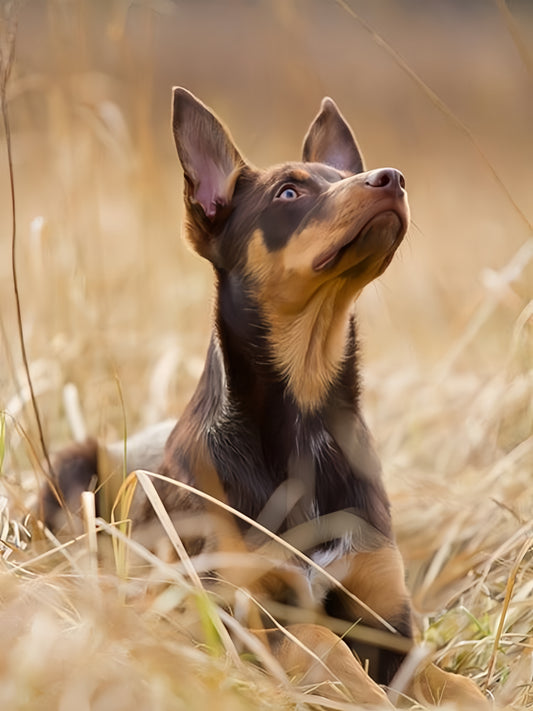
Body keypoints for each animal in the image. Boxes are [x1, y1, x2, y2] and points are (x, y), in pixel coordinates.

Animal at [43, 89, 414, 696]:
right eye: (289, 192)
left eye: (344, 176)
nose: (393, 178)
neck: (307, 419)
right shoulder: (232, 613)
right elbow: (323, 642)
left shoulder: (389, 617)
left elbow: (454, 681)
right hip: (72, 470)